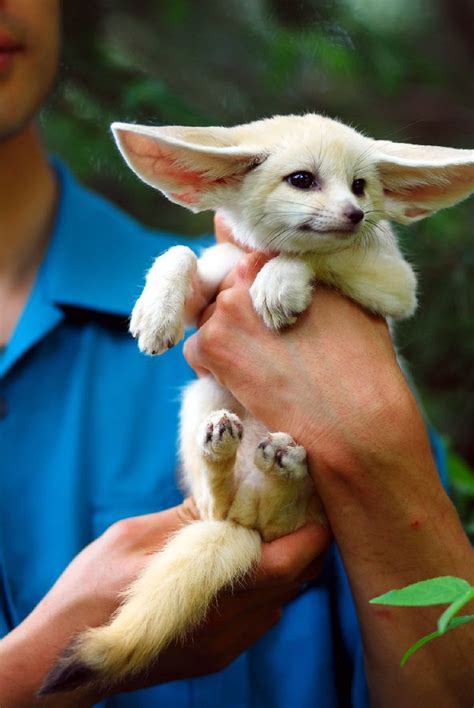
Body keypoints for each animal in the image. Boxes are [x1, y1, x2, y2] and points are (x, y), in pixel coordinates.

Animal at [42, 112, 472, 692]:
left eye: (361, 185)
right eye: (302, 180)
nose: (356, 214)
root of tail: (249, 529)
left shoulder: (397, 286)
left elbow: (316, 253)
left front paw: (280, 282)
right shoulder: (218, 274)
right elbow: (181, 252)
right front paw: (156, 314)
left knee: (271, 510)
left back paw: (280, 466)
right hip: (203, 393)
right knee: (218, 505)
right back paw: (225, 450)